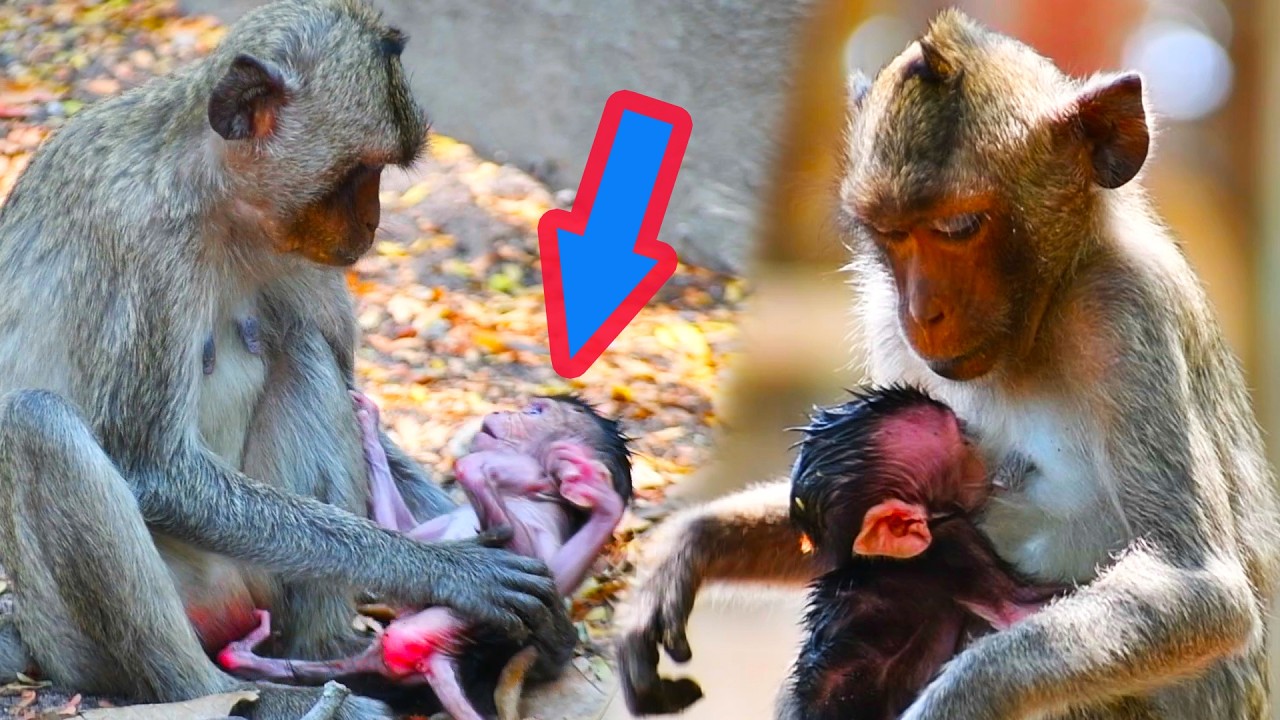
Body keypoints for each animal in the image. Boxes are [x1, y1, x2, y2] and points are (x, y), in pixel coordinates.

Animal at [0, 1, 564, 719]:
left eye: (382, 173)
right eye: (359, 174)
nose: (372, 223)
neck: (217, 194)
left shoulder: (302, 252)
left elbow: (356, 402)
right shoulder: (141, 239)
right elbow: (153, 464)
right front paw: (448, 571)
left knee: (303, 349)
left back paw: (326, 658)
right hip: (87, 635)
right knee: (38, 425)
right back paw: (235, 693)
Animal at [217, 394, 633, 720]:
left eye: (535, 412)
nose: (501, 411)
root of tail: (437, 659)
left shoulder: (542, 523)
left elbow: (539, 566)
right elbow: (408, 540)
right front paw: (369, 426)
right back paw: (246, 658)